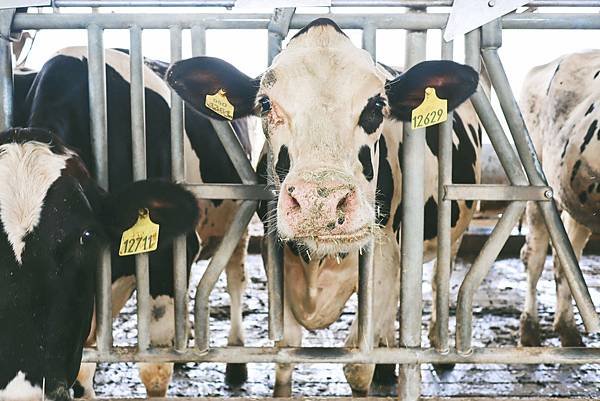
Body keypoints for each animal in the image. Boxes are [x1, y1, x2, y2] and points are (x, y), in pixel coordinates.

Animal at [165, 18, 482, 394]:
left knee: (436, 280)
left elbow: (358, 365)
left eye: (376, 106)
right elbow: (286, 352)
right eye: (266, 104)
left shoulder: (384, 260)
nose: (321, 200)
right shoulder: (277, 266)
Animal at [516, 49, 600, 346]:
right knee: (534, 256)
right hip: (537, 186)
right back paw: (529, 331)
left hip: (578, 206)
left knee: (566, 262)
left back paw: (568, 330)